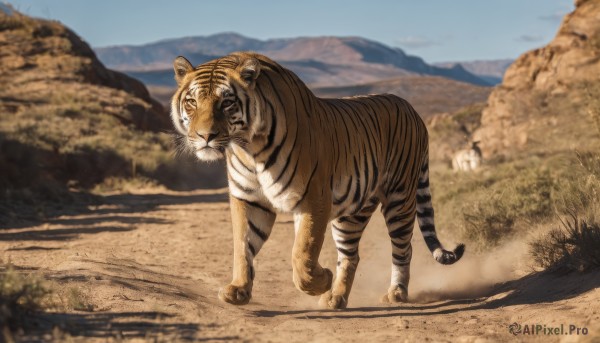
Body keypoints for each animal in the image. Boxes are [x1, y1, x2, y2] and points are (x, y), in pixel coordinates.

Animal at [169, 51, 464, 312]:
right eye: (192, 102)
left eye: (226, 102)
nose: (205, 136)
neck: (249, 148)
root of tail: (412, 109)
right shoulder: (249, 198)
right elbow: (243, 246)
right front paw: (238, 290)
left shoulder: (312, 198)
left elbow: (303, 253)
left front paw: (320, 281)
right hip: (352, 213)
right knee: (351, 255)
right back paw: (336, 298)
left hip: (400, 199)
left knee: (404, 249)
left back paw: (396, 293)